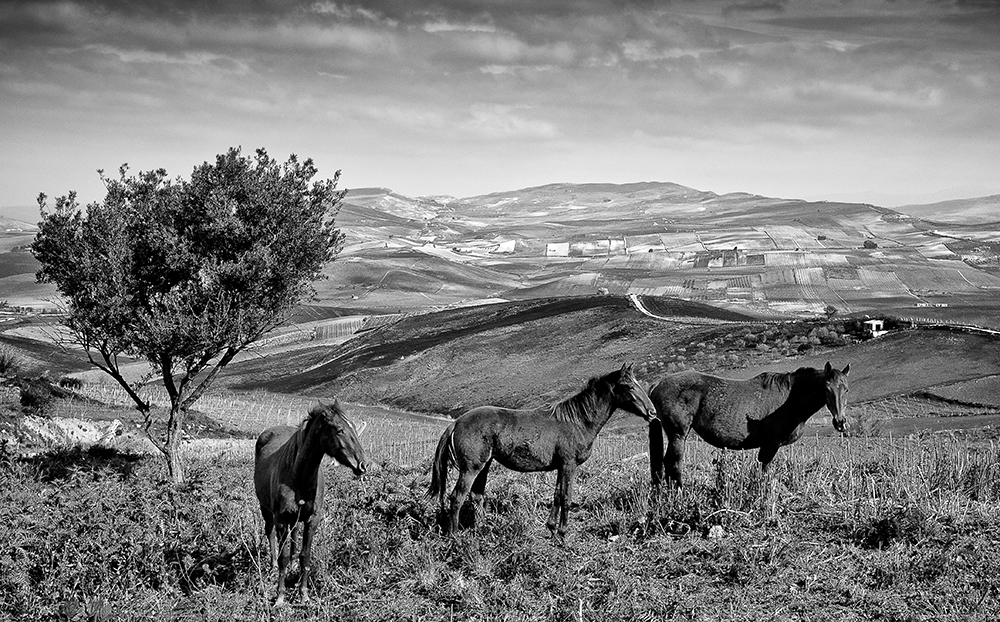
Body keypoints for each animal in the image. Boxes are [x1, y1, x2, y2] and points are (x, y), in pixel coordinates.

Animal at [256, 402, 370, 608]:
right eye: (339, 430)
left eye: (354, 428)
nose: (363, 465)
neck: (298, 475)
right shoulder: (281, 519)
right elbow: (283, 557)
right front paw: (280, 597)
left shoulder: (312, 520)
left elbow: (305, 556)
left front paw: (304, 595)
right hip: (266, 510)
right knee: (270, 533)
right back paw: (272, 566)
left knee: (294, 536)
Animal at [428, 364, 656, 544]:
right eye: (629, 386)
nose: (652, 412)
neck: (577, 422)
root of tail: (457, 422)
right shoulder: (569, 465)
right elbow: (566, 497)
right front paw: (563, 534)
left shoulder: (561, 467)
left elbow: (557, 495)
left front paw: (552, 529)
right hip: (471, 469)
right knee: (457, 498)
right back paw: (455, 537)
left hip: (484, 466)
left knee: (476, 497)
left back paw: (484, 529)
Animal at [648, 364, 852, 490]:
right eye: (827, 389)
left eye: (847, 389)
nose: (840, 422)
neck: (790, 399)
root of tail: (657, 384)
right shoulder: (771, 444)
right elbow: (764, 470)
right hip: (678, 435)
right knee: (674, 464)